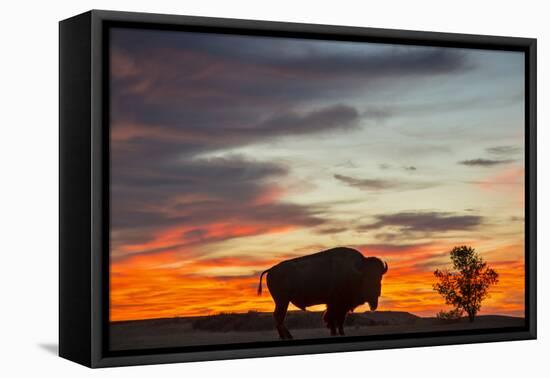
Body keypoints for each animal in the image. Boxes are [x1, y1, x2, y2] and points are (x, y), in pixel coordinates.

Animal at [258, 247, 388, 342]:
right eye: (366, 278)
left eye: (380, 277)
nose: (377, 293)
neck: (356, 271)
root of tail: (271, 270)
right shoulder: (338, 303)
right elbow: (336, 318)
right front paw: (338, 333)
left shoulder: (336, 304)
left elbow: (336, 318)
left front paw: (337, 332)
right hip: (282, 301)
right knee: (279, 316)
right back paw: (287, 337)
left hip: (282, 301)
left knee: (278, 317)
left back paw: (286, 336)